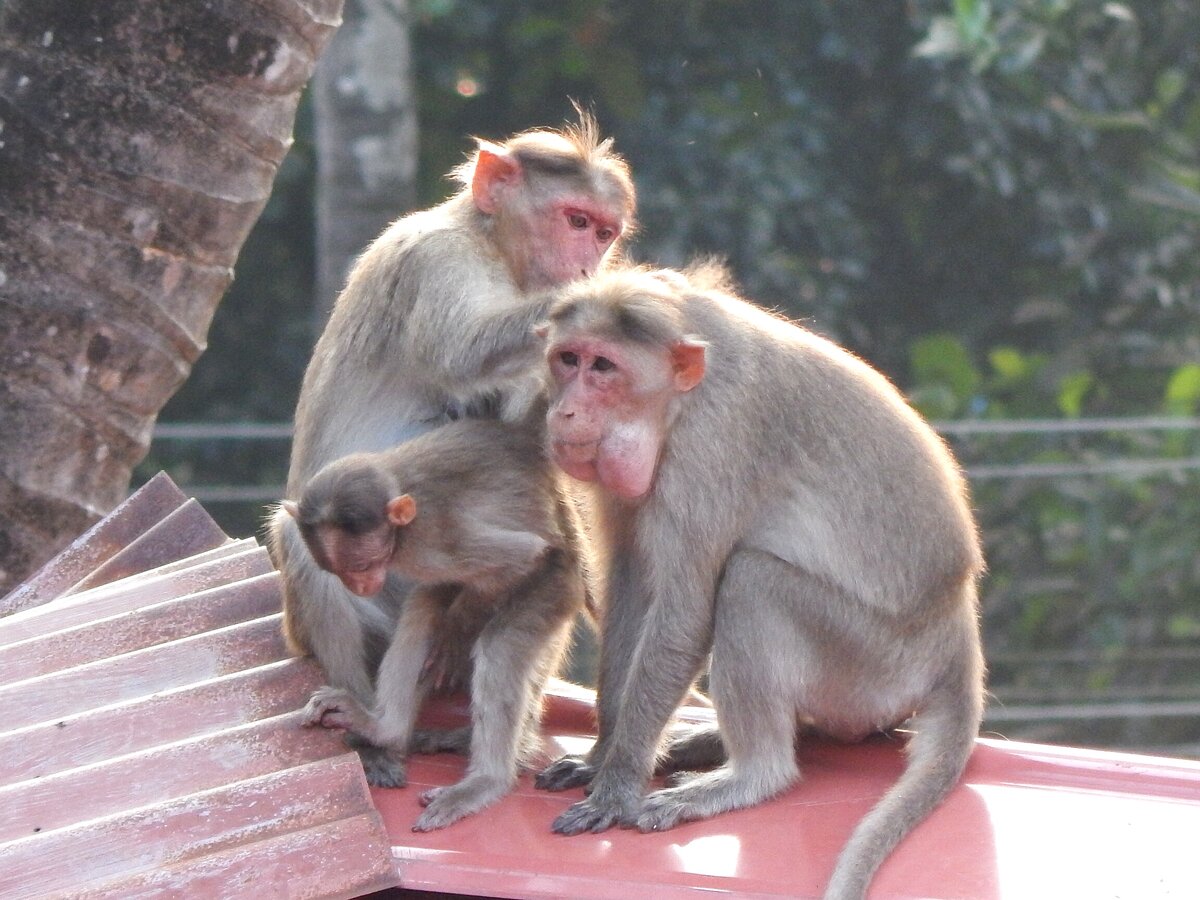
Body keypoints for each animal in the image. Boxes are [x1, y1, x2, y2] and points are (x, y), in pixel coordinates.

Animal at [265, 112, 638, 753]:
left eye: (604, 232)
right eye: (576, 220)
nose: (589, 265)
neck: (487, 239)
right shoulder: (439, 260)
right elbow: (466, 352)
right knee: (302, 540)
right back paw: (370, 717)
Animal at [290, 420, 590, 835]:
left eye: (362, 566)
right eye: (339, 570)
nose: (360, 586)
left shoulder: (432, 541)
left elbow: (523, 558)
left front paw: (457, 630)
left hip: (554, 588)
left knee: (500, 646)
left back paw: (487, 780)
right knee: (423, 606)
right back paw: (386, 729)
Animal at [532, 262, 984, 900]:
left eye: (603, 368)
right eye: (568, 359)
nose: (564, 412)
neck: (677, 398)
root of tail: (956, 632)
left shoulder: (709, 452)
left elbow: (684, 614)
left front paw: (616, 786)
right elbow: (631, 590)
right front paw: (603, 757)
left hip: (873, 667)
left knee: (752, 582)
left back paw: (749, 776)